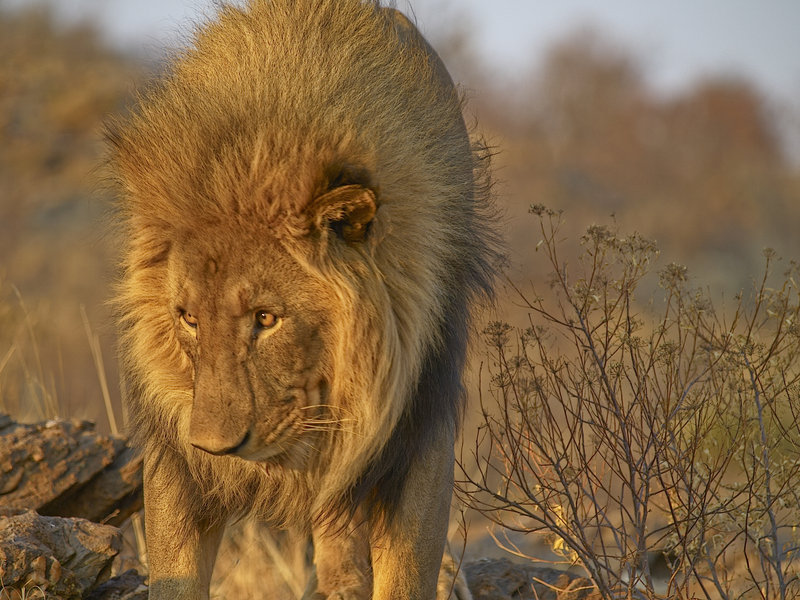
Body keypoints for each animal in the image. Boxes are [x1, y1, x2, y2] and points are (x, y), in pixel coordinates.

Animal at [108, 1, 498, 598]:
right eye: (189, 318)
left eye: (267, 318)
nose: (213, 447)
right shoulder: (177, 458)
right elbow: (175, 571)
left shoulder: (419, 426)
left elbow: (406, 569)